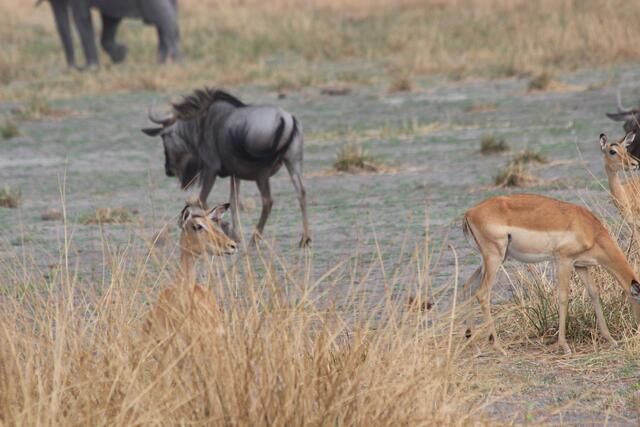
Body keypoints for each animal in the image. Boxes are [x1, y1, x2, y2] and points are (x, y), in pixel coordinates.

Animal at [41, 0, 180, 69]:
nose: (74, 67)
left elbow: (82, 17)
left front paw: (91, 67)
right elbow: (110, 19)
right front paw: (120, 54)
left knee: (164, 20)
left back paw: (176, 62)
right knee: (166, 24)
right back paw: (161, 63)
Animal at [462, 194, 640, 355]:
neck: (589, 228)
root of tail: (470, 212)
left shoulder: (581, 266)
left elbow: (594, 294)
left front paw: (611, 339)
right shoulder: (563, 261)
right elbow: (563, 297)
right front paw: (564, 346)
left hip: (487, 261)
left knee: (468, 286)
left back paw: (475, 347)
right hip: (494, 259)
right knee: (482, 294)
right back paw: (499, 348)